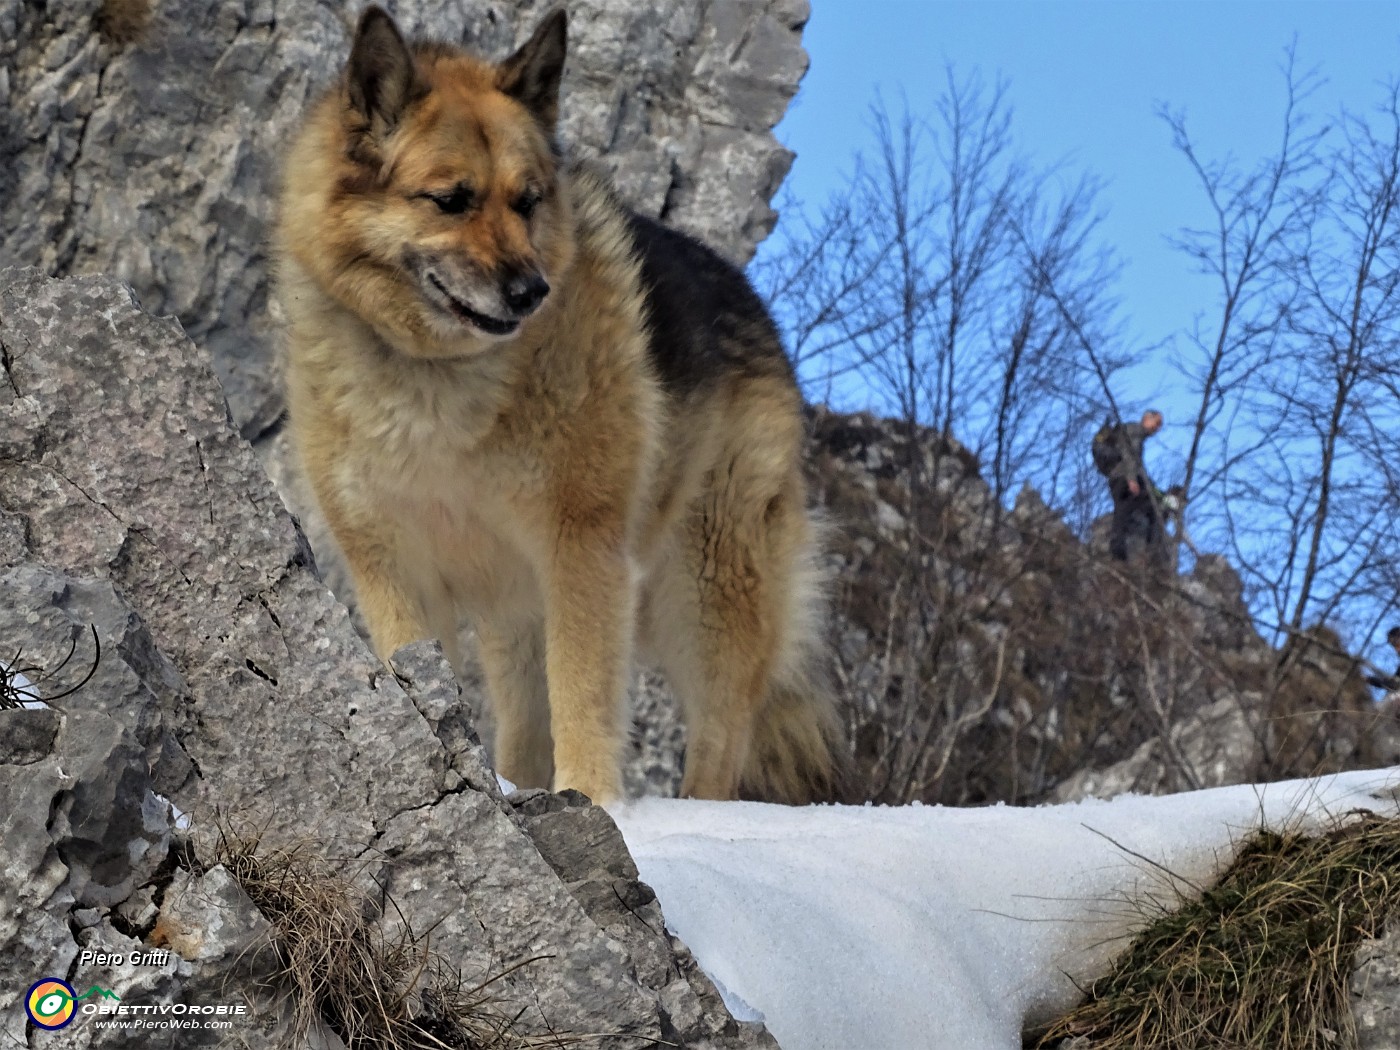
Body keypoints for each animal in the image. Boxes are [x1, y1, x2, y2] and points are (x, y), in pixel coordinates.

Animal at [273, 6, 840, 806]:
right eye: (451, 199)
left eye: (528, 200)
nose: (530, 291)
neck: (438, 378)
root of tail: (754, 308)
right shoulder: (395, 571)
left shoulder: (582, 549)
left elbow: (586, 697)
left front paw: (595, 800)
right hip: (519, 612)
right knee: (525, 727)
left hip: (705, 592)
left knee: (718, 746)